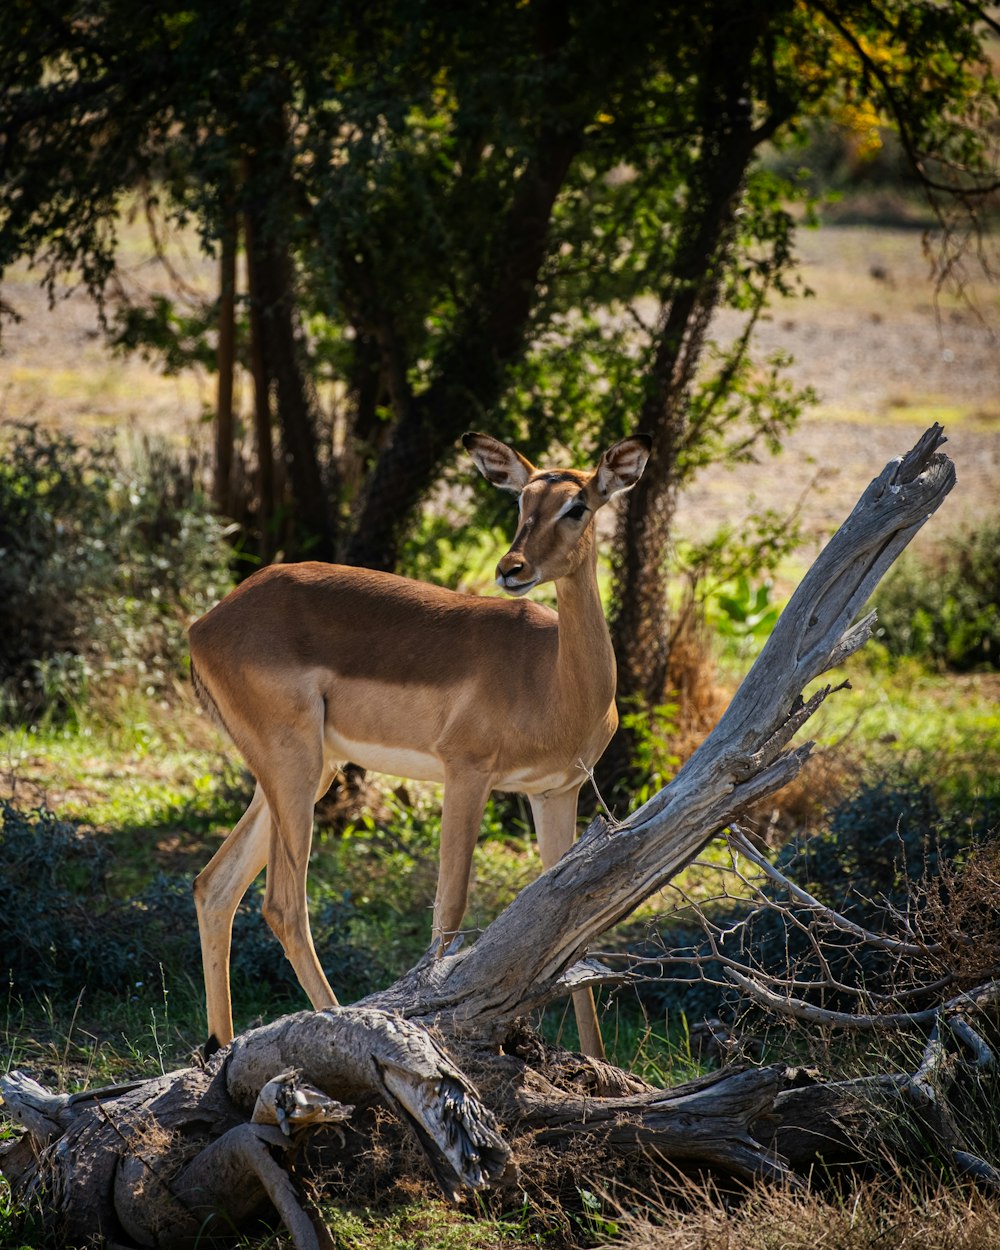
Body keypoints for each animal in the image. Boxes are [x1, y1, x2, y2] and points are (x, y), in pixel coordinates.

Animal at [190, 430, 650, 1055]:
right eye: (521, 501)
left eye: (577, 505)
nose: (512, 568)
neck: (554, 680)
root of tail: (205, 625)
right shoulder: (467, 773)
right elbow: (449, 909)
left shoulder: (555, 792)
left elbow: (571, 916)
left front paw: (598, 1066)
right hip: (294, 768)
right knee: (283, 905)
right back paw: (344, 1027)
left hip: (307, 773)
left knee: (214, 886)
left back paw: (222, 1047)